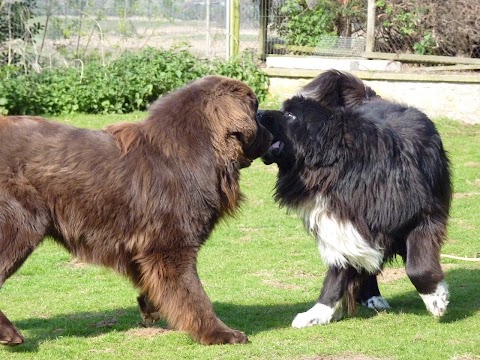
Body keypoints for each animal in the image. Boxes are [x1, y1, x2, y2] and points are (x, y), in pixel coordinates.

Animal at [0, 76, 272, 346]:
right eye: (255, 111)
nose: (271, 136)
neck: (195, 152)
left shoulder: (145, 248)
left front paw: (150, 307)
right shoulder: (171, 246)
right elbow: (194, 295)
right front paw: (220, 334)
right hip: (22, 223)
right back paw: (9, 333)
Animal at [258, 69, 450, 326]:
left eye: (290, 115)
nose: (258, 112)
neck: (342, 171)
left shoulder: (423, 217)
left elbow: (417, 265)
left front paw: (436, 299)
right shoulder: (341, 226)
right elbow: (338, 271)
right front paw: (318, 312)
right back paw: (372, 296)